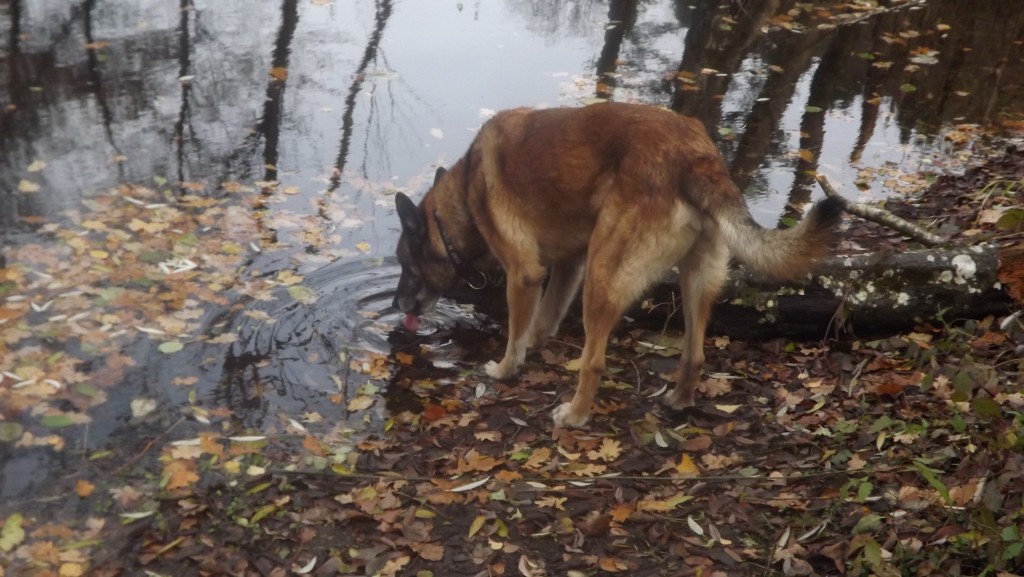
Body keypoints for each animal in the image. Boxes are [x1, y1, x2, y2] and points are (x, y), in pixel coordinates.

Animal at [391, 102, 839, 428]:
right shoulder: (567, 267)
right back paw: (679, 400)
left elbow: (515, 335)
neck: (463, 198)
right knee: (694, 355)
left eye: (404, 264)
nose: (396, 306)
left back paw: (574, 415)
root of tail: (696, 156)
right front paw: (533, 347)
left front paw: (504, 369)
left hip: (601, 279)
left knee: (593, 362)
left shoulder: (524, 276)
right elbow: (543, 322)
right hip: (696, 278)